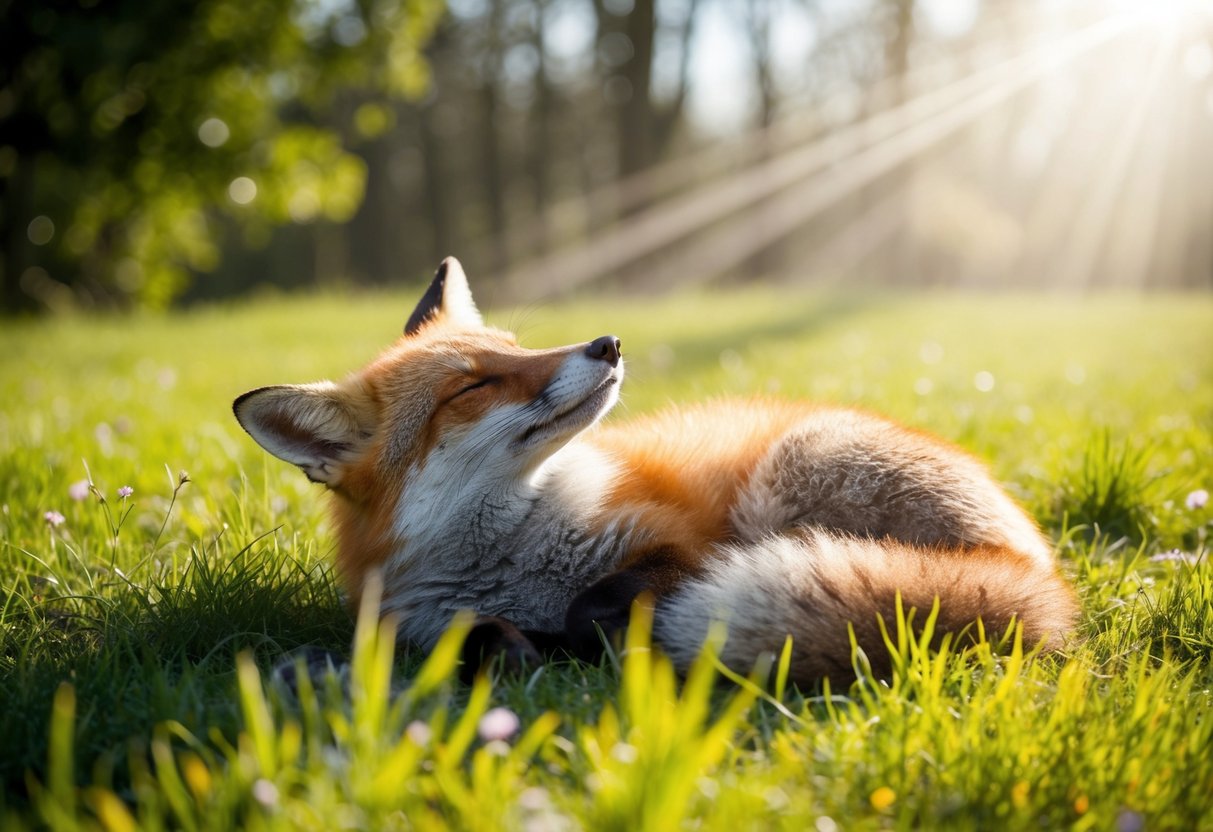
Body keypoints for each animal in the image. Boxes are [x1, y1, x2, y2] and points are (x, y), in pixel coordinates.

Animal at [234, 257, 1077, 686]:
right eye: (473, 386)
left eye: (516, 346)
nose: (606, 343)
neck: (512, 563)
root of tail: (1039, 574)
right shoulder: (418, 623)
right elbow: (471, 637)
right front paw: (513, 649)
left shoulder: (680, 546)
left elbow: (598, 606)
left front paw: (593, 639)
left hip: (788, 471)